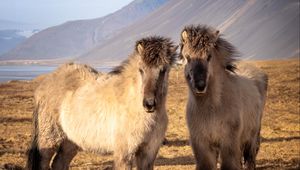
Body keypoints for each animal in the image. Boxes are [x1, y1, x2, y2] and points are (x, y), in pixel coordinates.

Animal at [26, 36, 180, 170]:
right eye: (141, 70)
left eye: (164, 70)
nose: (149, 104)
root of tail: (46, 82)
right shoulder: (124, 154)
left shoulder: (148, 154)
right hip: (49, 139)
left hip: (71, 142)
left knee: (59, 163)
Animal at [179, 24, 268, 169]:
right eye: (187, 57)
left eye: (209, 56)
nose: (200, 86)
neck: (212, 109)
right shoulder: (202, 146)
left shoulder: (228, 144)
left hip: (251, 138)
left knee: (250, 159)